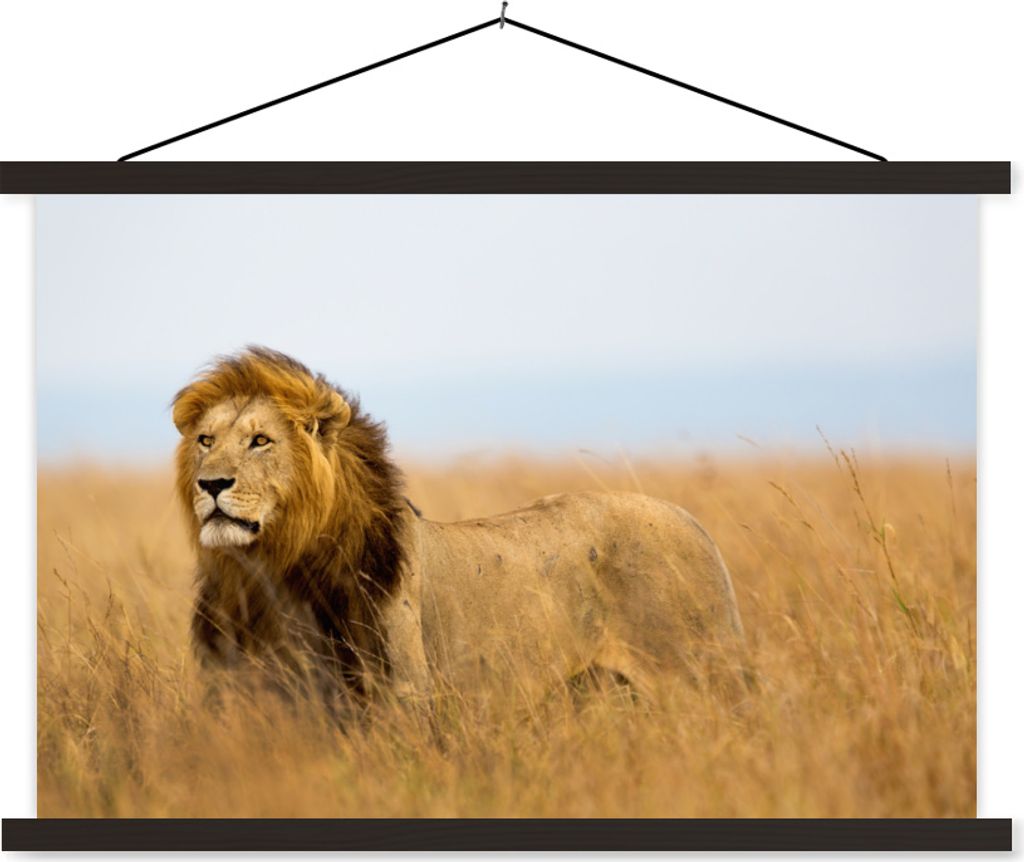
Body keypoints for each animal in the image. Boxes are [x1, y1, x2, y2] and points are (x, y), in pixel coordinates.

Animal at [173, 347, 746, 711]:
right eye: (205, 440)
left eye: (261, 441)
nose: (211, 484)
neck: (269, 571)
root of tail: (693, 522)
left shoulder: (400, 696)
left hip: (701, 679)